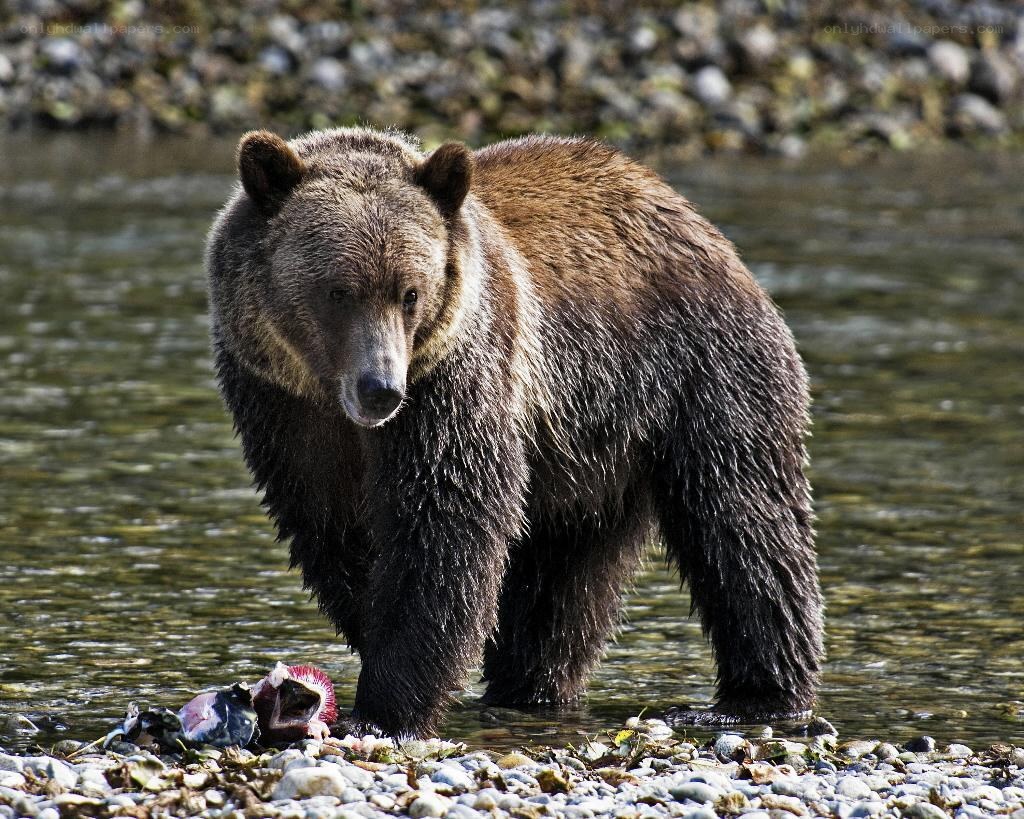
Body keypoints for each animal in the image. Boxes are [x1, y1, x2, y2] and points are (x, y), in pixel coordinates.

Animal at [206, 126, 824, 739]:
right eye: (338, 291)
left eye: (410, 292)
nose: (381, 388)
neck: (334, 400)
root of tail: (699, 223)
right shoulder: (282, 408)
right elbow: (332, 526)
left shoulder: (455, 381)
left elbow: (445, 522)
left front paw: (384, 708)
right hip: (584, 454)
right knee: (562, 582)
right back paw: (531, 687)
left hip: (700, 376)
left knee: (743, 521)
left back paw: (756, 696)